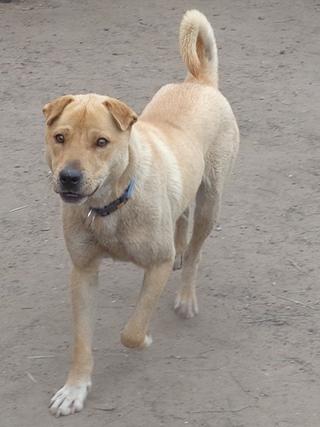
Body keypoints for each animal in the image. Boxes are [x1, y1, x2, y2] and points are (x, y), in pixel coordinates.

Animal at [43, 10, 240, 418]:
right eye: (60, 138)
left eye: (101, 142)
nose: (69, 177)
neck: (110, 207)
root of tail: (199, 82)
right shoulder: (83, 272)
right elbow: (81, 342)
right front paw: (75, 389)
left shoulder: (157, 265)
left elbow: (131, 332)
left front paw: (146, 338)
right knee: (181, 219)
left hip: (211, 201)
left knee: (195, 250)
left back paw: (186, 296)